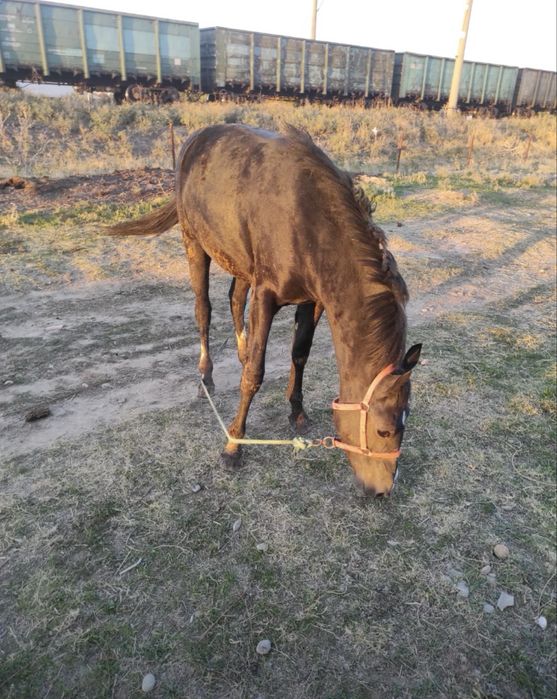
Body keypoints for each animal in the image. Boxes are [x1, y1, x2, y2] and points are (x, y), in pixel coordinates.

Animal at [107, 124, 421, 496]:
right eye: (384, 430)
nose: (382, 490)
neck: (308, 223)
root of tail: (195, 140)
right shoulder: (267, 296)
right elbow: (254, 374)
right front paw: (233, 445)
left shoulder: (312, 301)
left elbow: (299, 354)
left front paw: (297, 412)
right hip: (194, 243)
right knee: (204, 310)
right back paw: (205, 378)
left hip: (240, 263)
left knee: (234, 299)